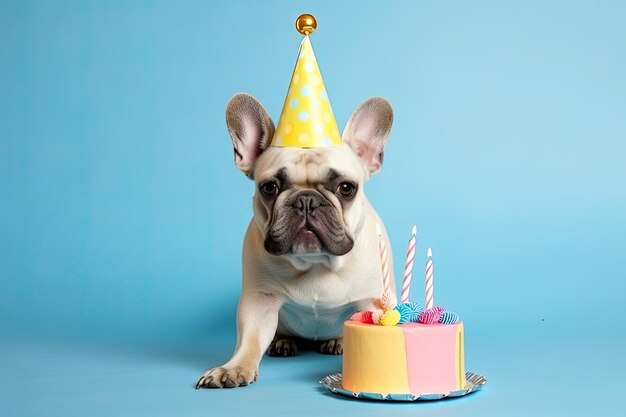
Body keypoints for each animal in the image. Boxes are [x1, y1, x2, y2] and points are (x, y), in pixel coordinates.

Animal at [195, 92, 394, 388]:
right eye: (269, 187)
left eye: (346, 188)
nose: (306, 200)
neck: (315, 264)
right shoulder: (259, 301)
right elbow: (250, 339)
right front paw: (233, 368)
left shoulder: (373, 299)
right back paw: (283, 342)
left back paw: (336, 341)